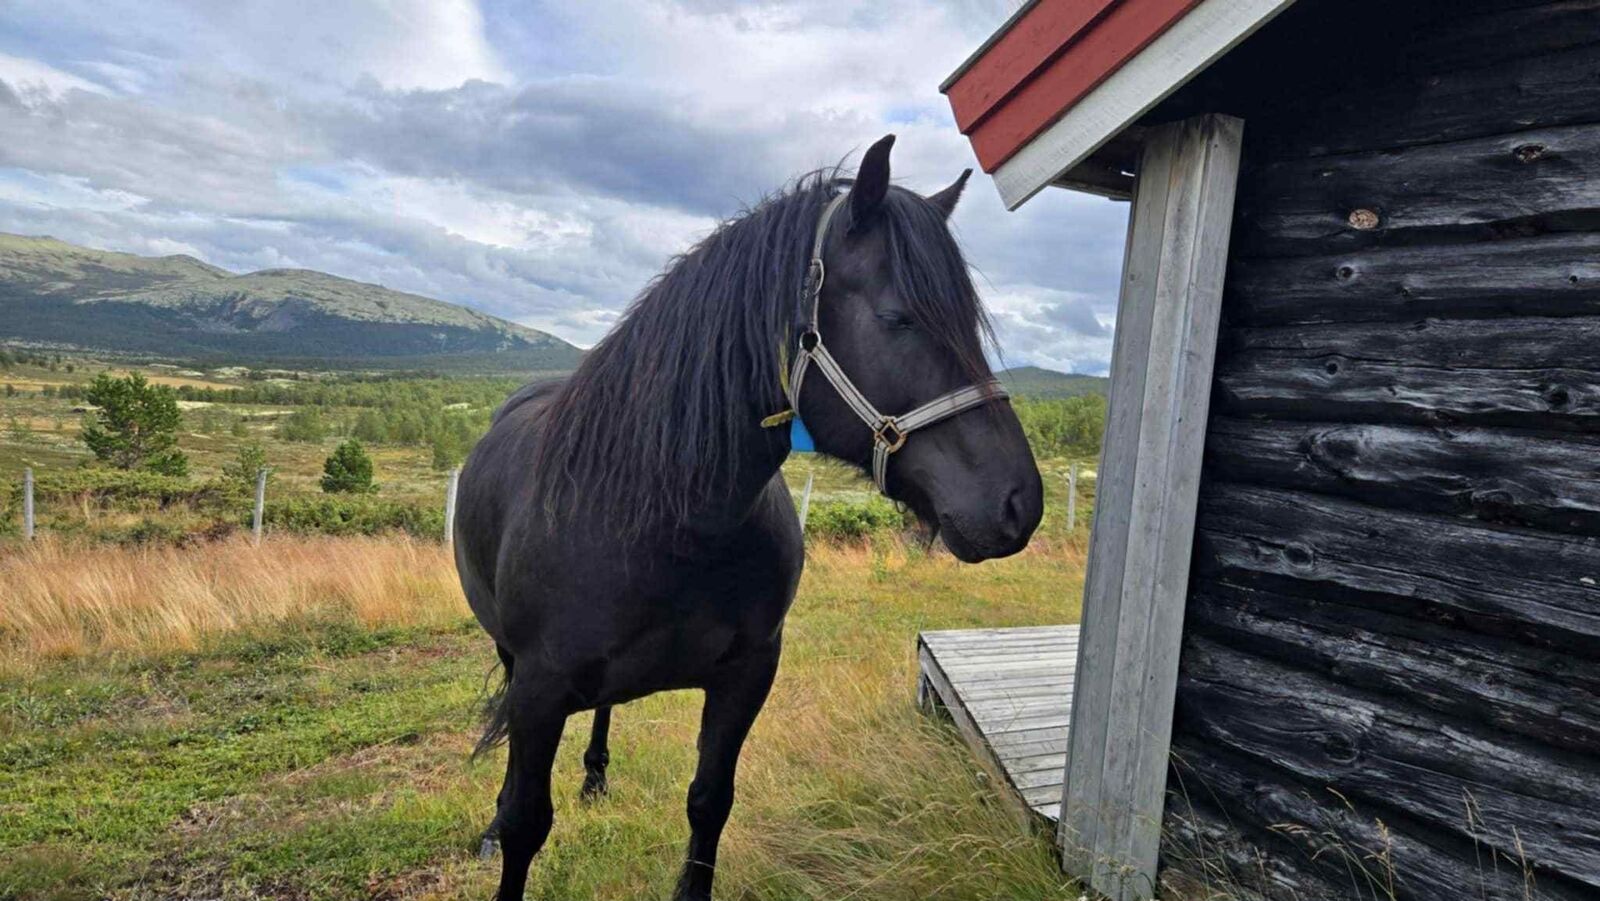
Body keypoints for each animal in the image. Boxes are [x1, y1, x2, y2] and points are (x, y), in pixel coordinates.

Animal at [453, 134, 1044, 901]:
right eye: (897, 318)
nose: (1019, 503)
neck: (668, 525)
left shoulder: (747, 674)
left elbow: (709, 801)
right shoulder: (538, 687)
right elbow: (527, 821)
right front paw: (503, 827)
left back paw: (595, 775)